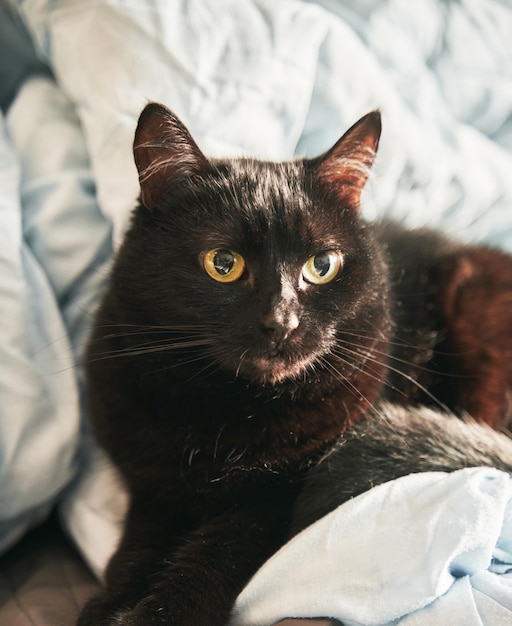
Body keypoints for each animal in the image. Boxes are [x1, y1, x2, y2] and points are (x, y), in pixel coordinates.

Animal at [78, 103, 512, 624]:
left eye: (321, 266)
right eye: (223, 263)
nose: (282, 321)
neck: (223, 411)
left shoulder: (275, 499)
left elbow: (210, 556)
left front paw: (161, 613)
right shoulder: (152, 488)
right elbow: (135, 550)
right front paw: (107, 605)